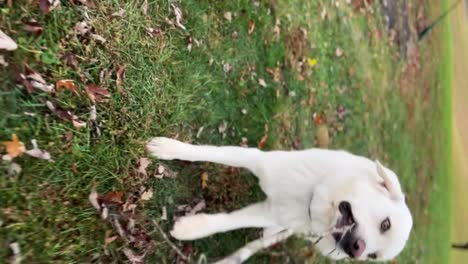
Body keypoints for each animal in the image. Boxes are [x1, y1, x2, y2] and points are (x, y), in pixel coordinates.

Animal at [146, 137, 414, 262]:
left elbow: (226, 222)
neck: (309, 198)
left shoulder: (269, 212)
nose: (356, 251)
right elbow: (208, 152)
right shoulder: (257, 160)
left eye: (373, 256)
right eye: (386, 224)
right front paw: (169, 149)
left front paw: (190, 228)